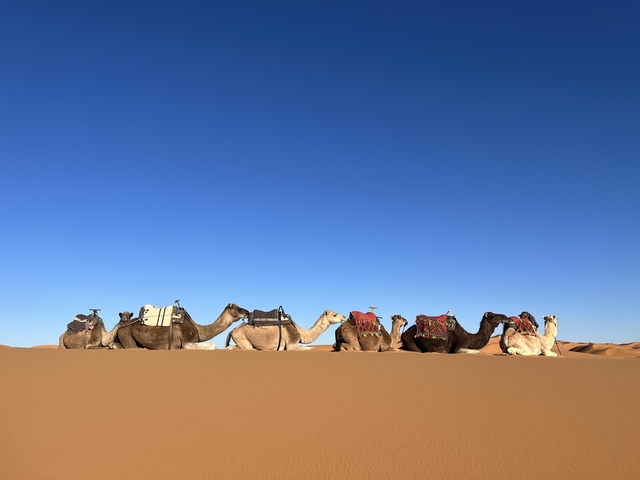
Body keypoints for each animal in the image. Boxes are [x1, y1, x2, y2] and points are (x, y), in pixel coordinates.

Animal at [117, 303, 249, 350]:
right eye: (238, 308)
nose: (247, 312)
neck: (198, 329)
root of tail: (121, 326)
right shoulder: (184, 342)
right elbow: (213, 346)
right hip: (127, 338)